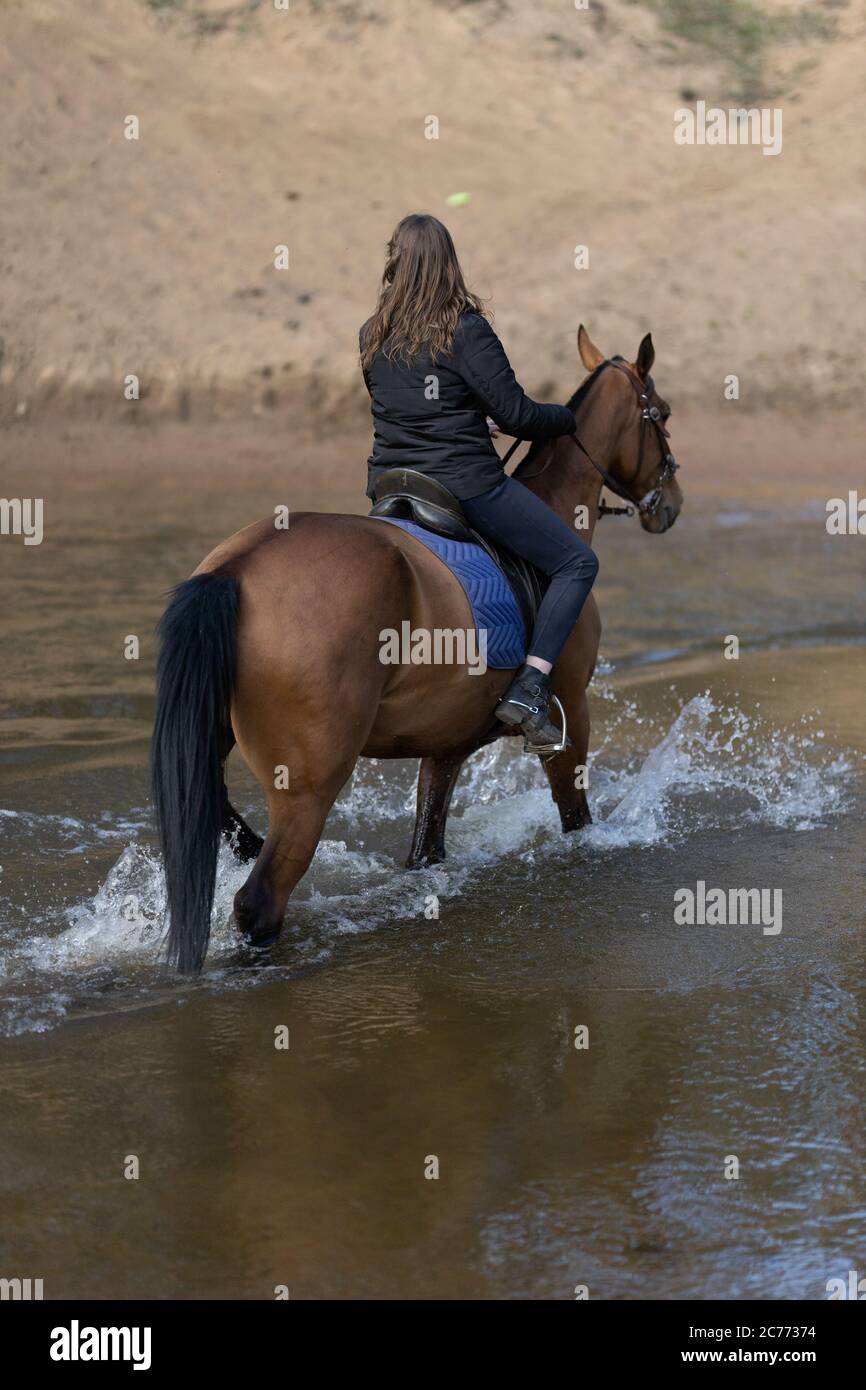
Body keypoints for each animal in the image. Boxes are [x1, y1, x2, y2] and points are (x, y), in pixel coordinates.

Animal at [151, 325, 683, 972]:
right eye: (662, 415)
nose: (671, 503)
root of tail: (237, 569)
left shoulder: (445, 746)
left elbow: (426, 848)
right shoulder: (571, 714)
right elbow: (575, 819)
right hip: (308, 788)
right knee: (261, 900)